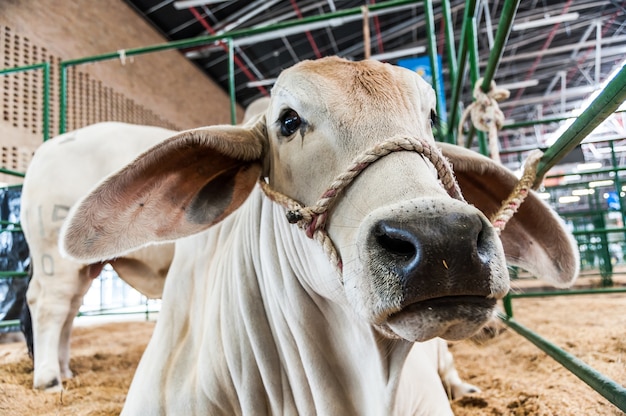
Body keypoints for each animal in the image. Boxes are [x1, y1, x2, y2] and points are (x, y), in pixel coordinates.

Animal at [19, 122, 176, 390]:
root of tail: (47, 147)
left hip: (80, 267)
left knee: (69, 309)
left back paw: (64, 370)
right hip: (55, 257)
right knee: (49, 306)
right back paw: (49, 379)